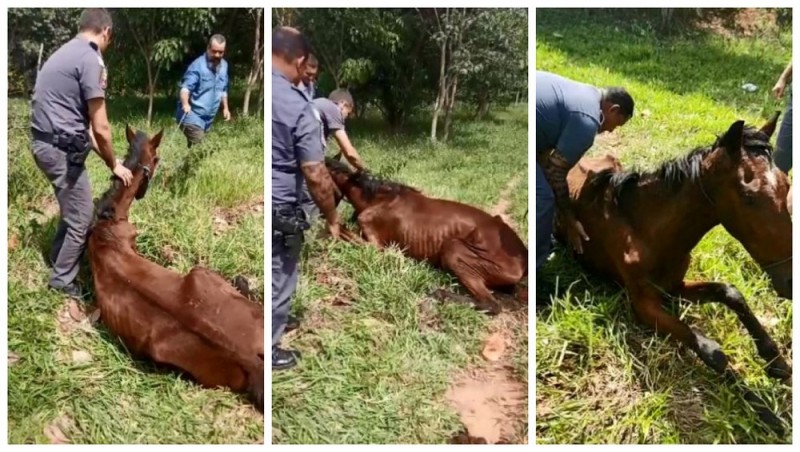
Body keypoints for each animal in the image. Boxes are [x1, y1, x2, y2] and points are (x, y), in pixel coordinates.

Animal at [322, 158, 528, 314]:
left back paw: (440, 294)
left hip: (454, 248)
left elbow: (340, 231)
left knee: (490, 304)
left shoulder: (377, 247)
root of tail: (524, 256)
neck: (376, 200)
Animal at [556, 113, 792, 430]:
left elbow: (730, 293)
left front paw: (775, 361)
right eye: (748, 196)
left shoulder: (675, 287)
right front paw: (764, 411)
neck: (646, 229)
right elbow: (711, 351)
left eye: (787, 185)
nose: (790, 281)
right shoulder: (645, 306)